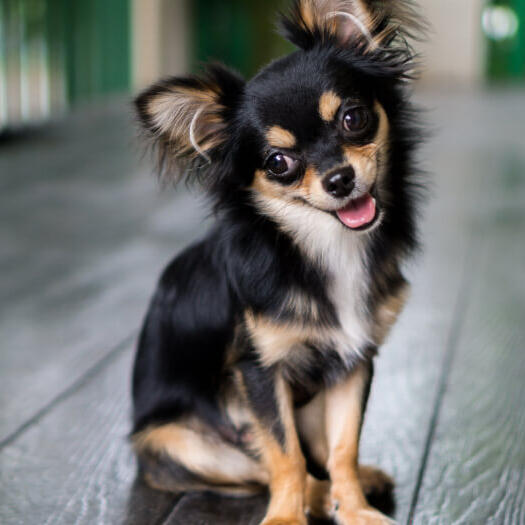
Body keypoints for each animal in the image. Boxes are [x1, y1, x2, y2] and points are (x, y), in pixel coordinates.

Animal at [131, 2, 426, 520]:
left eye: (354, 118)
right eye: (277, 163)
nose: (339, 179)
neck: (326, 245)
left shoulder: (354, 361)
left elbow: (343, 447)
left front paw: (355, 509)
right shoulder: (259, 372)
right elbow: (285, 457)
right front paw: (287, 517)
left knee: (318, 452)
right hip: (177, 443)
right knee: (265, 466)